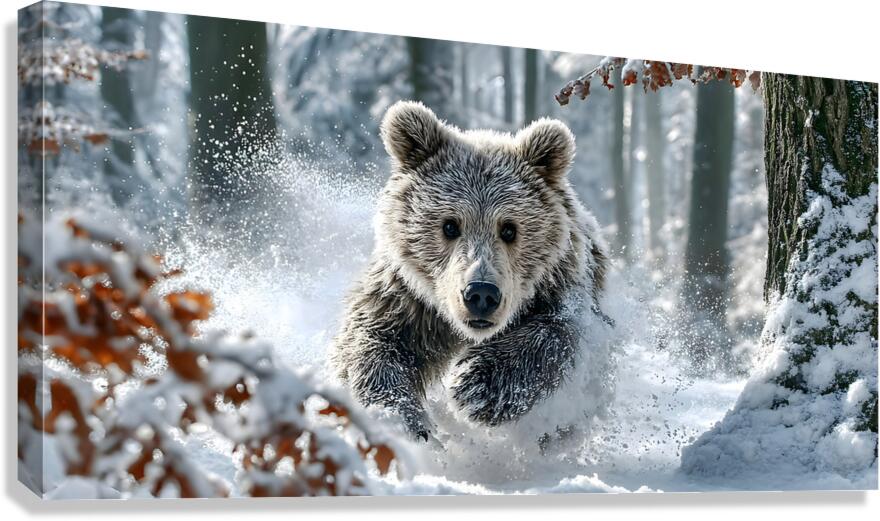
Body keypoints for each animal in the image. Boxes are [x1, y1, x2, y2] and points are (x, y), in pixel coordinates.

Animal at [332, 101, 608, 441]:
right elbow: (370, 339)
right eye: (450, 225)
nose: (481, 294)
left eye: (509, 229)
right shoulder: (407, 298)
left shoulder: (560, 284)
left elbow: (557, 333)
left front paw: (476, 384)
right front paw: (397, 418)